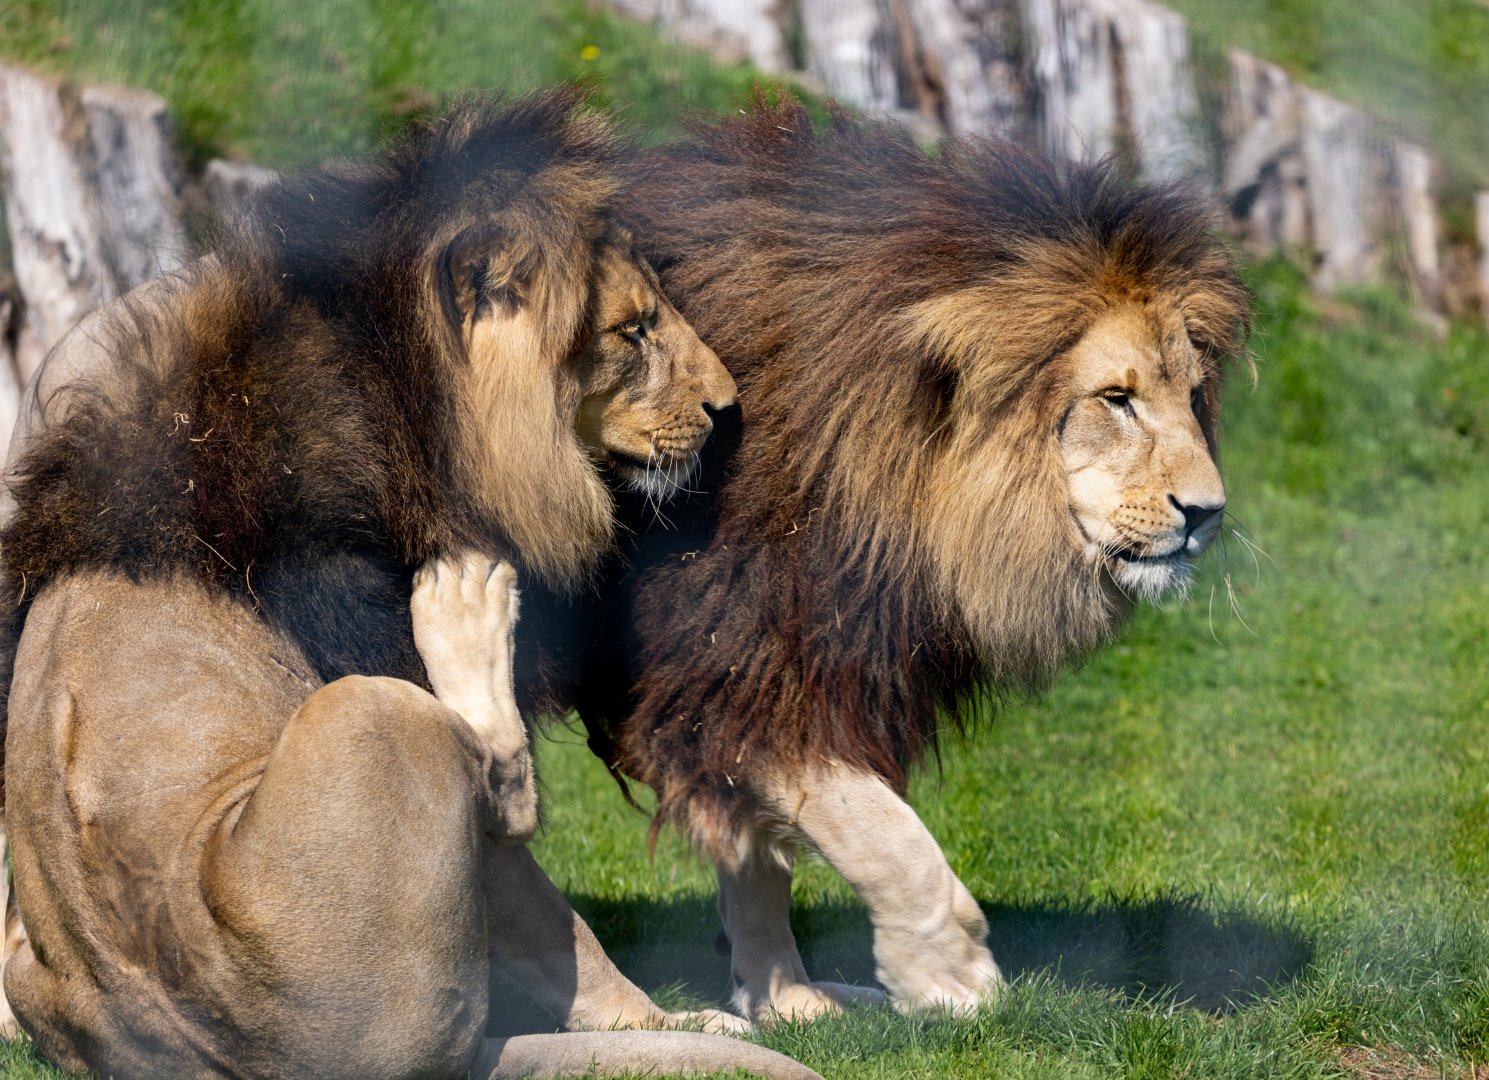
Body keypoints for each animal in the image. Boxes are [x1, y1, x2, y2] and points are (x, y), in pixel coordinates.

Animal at [0, 94, 820, 1080]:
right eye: (634, 330)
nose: (727, 408)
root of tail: (218, 1058)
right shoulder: (351, 609)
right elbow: (552, 918)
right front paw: (663, 1023)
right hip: (371, 711)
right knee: (501, 795)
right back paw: (468, 615)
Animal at [518, 97, 1253, 1022]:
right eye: (1114, 400)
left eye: (1189, 395)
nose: (1207, 514)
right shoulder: (736, 651)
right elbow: (878, 830)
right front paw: (949, 977)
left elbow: (757, 858)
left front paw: (785, 1001)